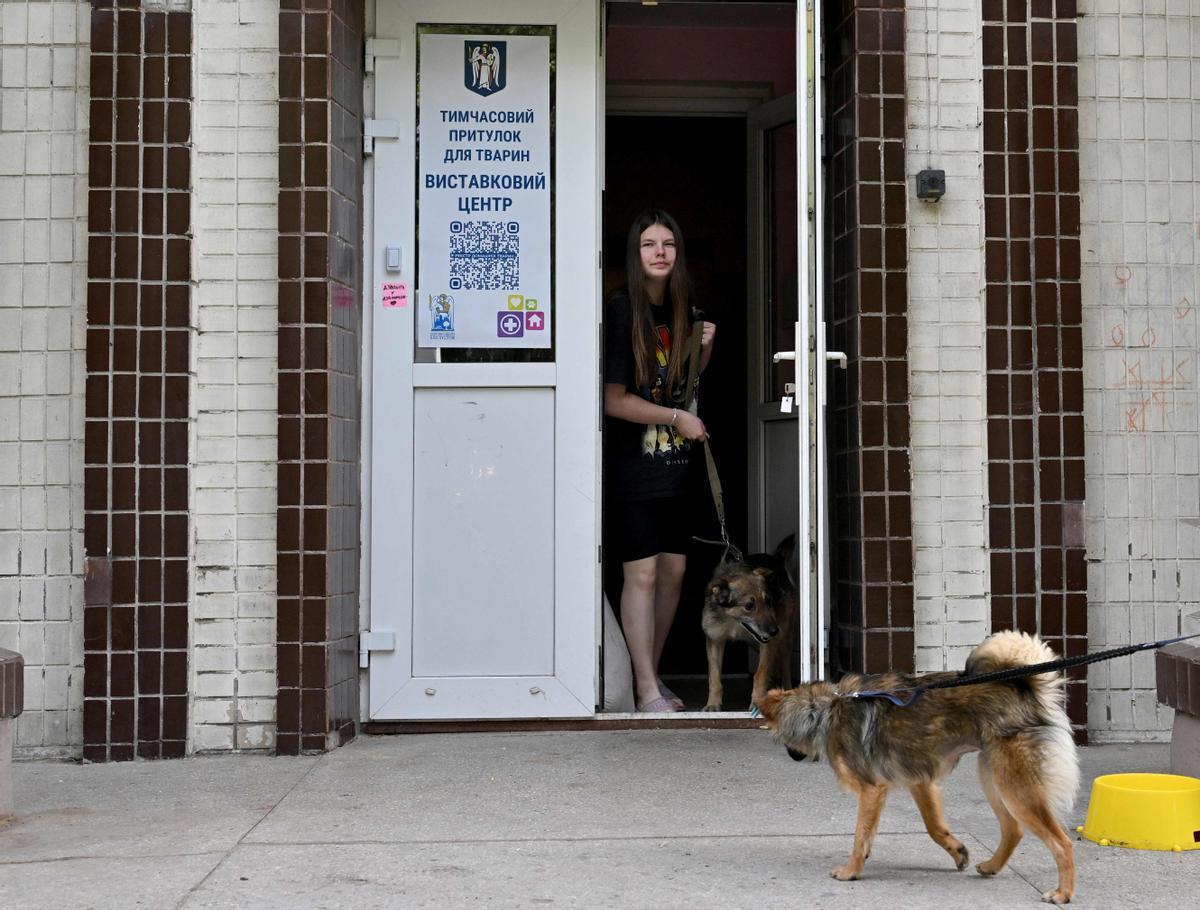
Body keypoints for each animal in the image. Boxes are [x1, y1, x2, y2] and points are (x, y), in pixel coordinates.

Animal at [700, 535, 792, 710]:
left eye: (768, 601)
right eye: (749, 606)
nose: (774, 631)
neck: (734, 622)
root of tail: (776, 559)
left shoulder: (768, 643)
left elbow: (760, 674)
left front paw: (757, 702)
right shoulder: (714, 640)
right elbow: (714, 677)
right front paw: (713, 704)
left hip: (784, 636)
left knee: (785, 662)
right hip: (756, 642)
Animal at [758, 633, 1080, 907]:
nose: (793, 755)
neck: (825, 708)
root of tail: (1025, 686)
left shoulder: (872, 789)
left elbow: (860, 836)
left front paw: (851, 870)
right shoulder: (921, 783)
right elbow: (933, 827)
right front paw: (957, 851)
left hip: (1016, 785)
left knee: (1061, 842)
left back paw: (1063, 893)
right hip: (993, 776)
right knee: (1013, 829)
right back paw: (991, 866)